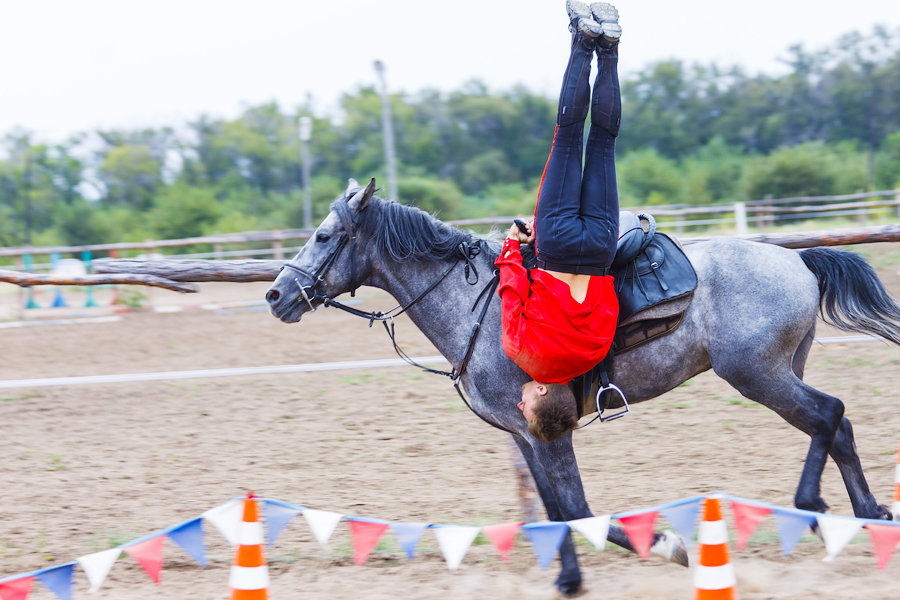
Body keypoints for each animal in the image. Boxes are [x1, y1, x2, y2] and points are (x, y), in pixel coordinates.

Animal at [264, 178, 900, 596]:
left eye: (325, 236)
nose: (275, 294)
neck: (483, 310)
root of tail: (798, 261)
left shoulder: (550, 429)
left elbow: (576, 508)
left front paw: (664, 546)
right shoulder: (523, 435)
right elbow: (551, 511)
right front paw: (569, 577)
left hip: (757, 375)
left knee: (829, 415)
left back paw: (814, 505)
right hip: (781, 370)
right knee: (836, 425)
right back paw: (867, 514)